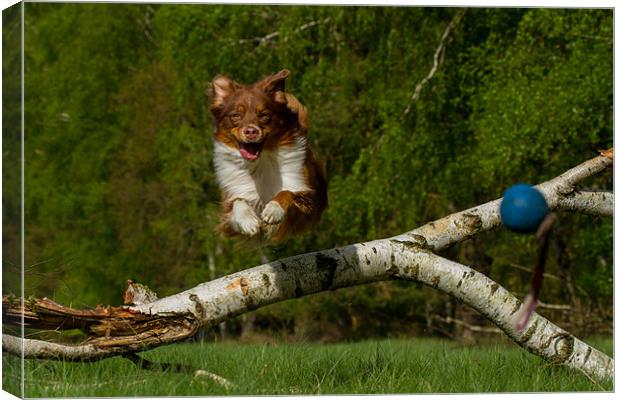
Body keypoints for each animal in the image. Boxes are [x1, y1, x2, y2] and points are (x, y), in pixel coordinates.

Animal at [209, 70, 326, 242]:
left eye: (264, 115)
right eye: (236, 115)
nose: (251, 131)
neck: (260, 162)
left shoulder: (308, 203)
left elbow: (287, 192)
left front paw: (273, 210)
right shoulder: (229, 213)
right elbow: (238, 201)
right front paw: (248, 220)